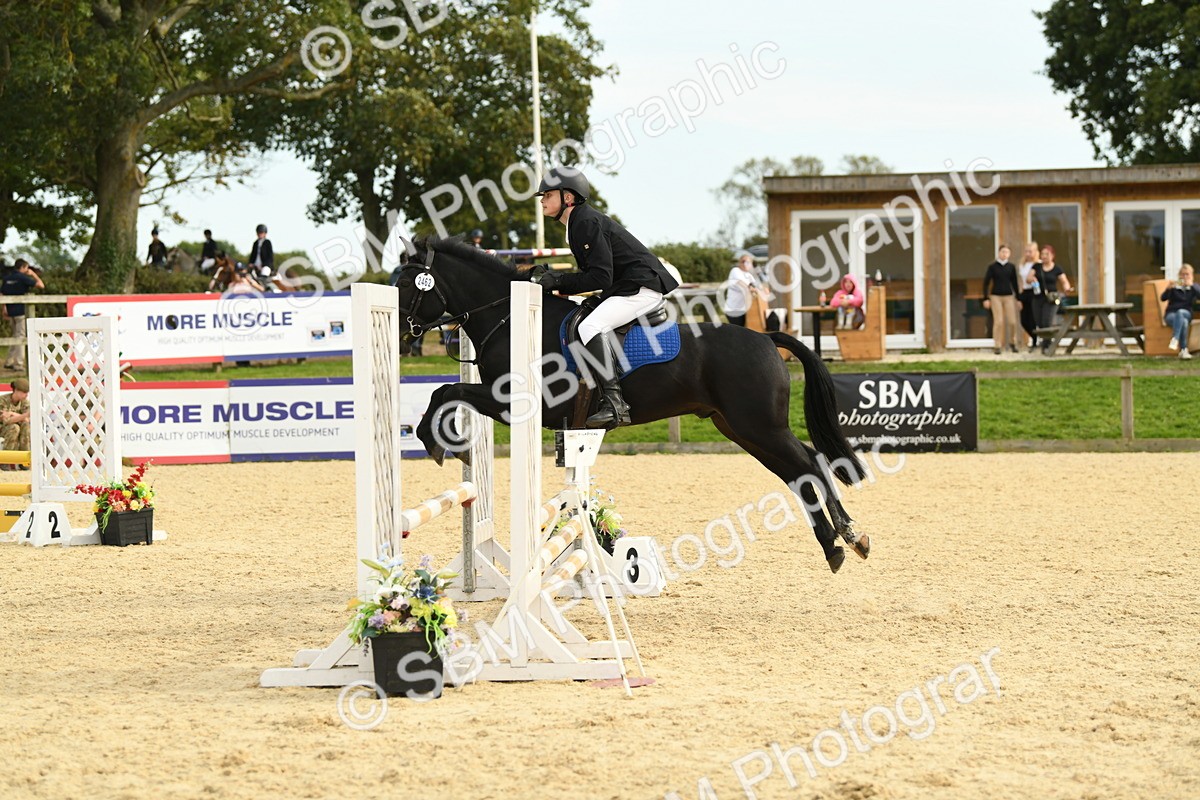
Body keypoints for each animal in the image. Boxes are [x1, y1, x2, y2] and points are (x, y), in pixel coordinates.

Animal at [392, 237, 872, 572]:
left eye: (405, 285)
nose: (400, 337)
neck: (509, 317)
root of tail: (766, 338)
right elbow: (444, 393)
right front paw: (445, 442)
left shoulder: (512, 402)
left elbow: (445, 393)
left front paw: (439, 443)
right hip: (741, 429)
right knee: (799, 471)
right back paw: (835, 544)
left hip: (759, 426)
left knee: (810, 464)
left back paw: (849, 536)